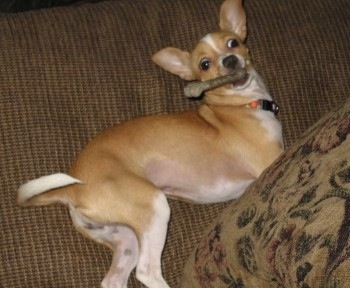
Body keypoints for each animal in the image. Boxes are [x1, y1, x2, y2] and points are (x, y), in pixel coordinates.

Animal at [17, 0, 284, 288]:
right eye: (204, 64)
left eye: (233, 43)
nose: (230, 60)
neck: (240, 105)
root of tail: (72, 190)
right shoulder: (271, 159)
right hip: (154, 206)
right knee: (147, 271)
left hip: (125, 238)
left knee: (113, 280)